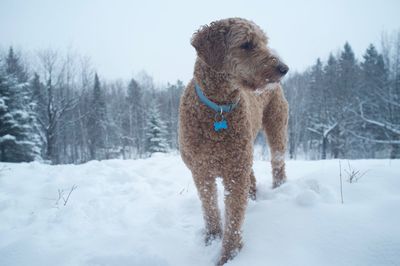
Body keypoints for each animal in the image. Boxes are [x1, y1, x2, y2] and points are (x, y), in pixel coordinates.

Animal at [180, 17, 290, 264]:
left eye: (264, 41)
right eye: (247, 44)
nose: (284, 68)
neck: (218, 108)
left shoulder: (234, 174)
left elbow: (234, 218)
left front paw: (229, 255)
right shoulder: (202, 171)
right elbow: (210, 209)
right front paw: (212, 238)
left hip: (276, 125)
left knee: (277, 162)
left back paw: (280, 188)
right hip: (244, 149)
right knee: (252, 174)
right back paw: (254, 196)